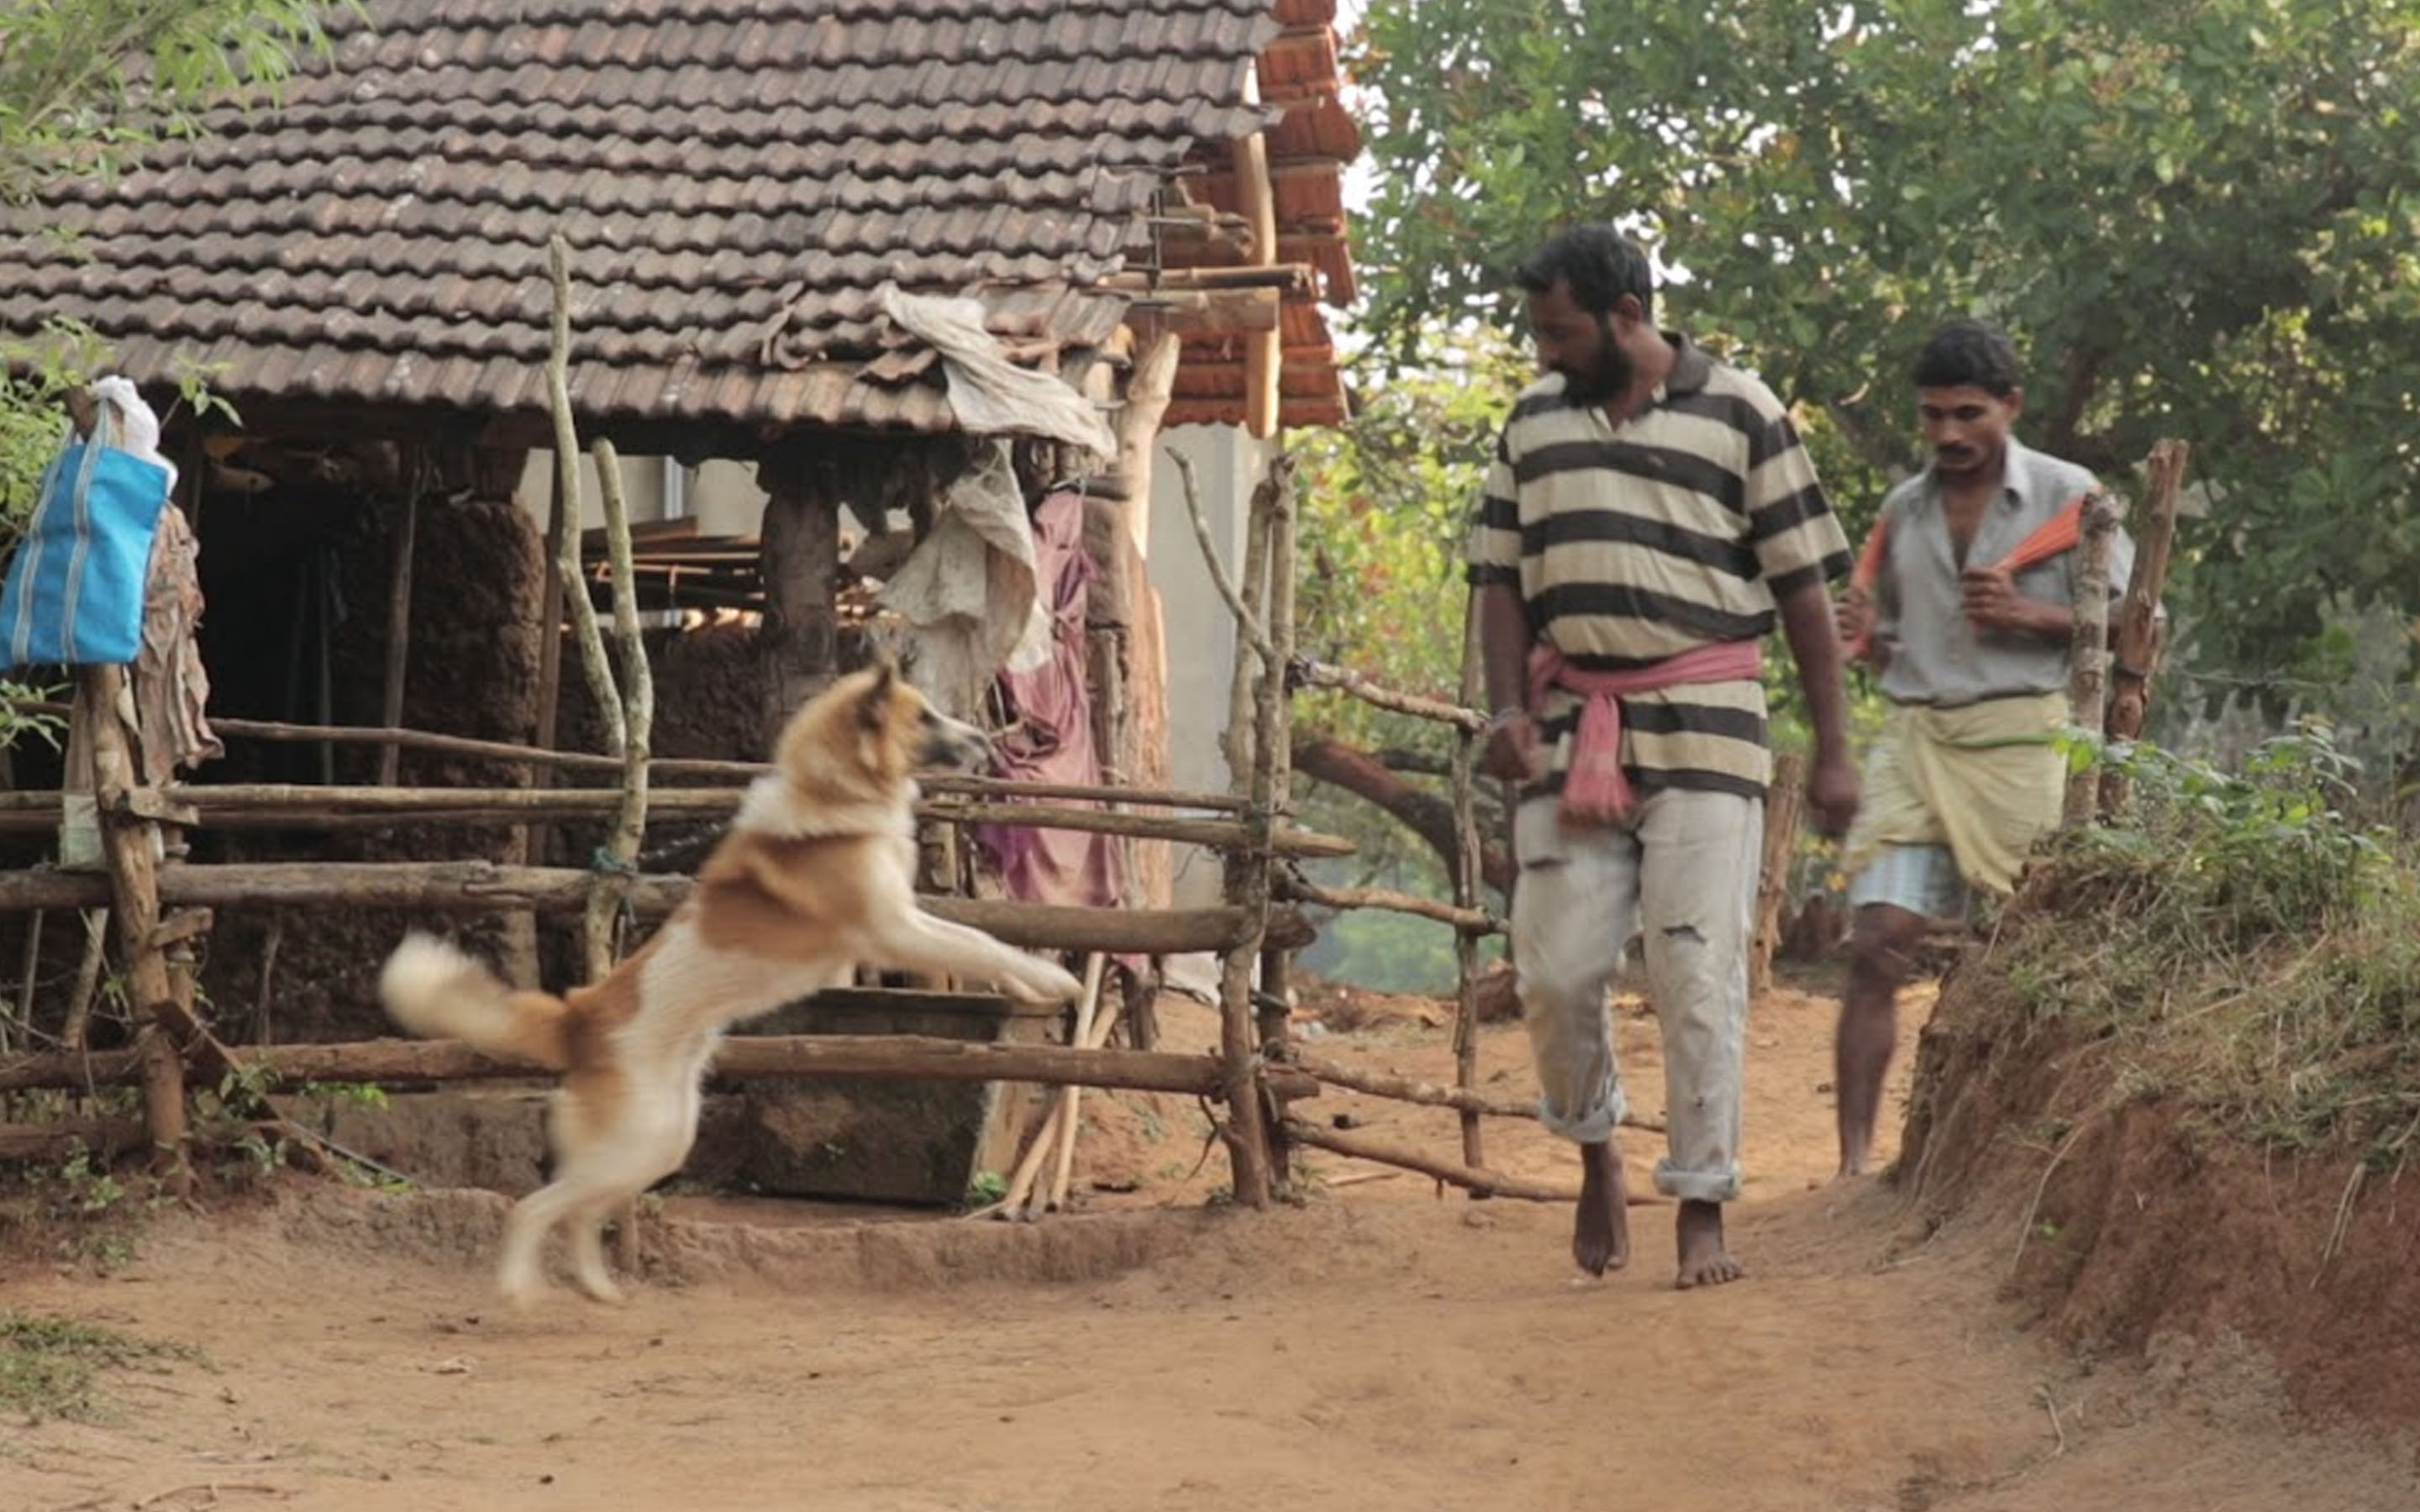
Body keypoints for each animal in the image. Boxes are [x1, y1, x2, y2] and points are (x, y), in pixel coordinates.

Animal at [377, 662, 1086, 1306]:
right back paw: (521, 1291)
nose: (988, 741)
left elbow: (980, 941)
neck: (837, 796)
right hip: (635, 1142)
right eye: (925, 718)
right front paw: (1055, 977)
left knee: (580, 1212)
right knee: (537, 1208)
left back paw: (599, 1289)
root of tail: (576, 1016)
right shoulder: (892, 930)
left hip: (659, 1141)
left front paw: (1031, 984)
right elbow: (979, 942)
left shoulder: (903, 925)